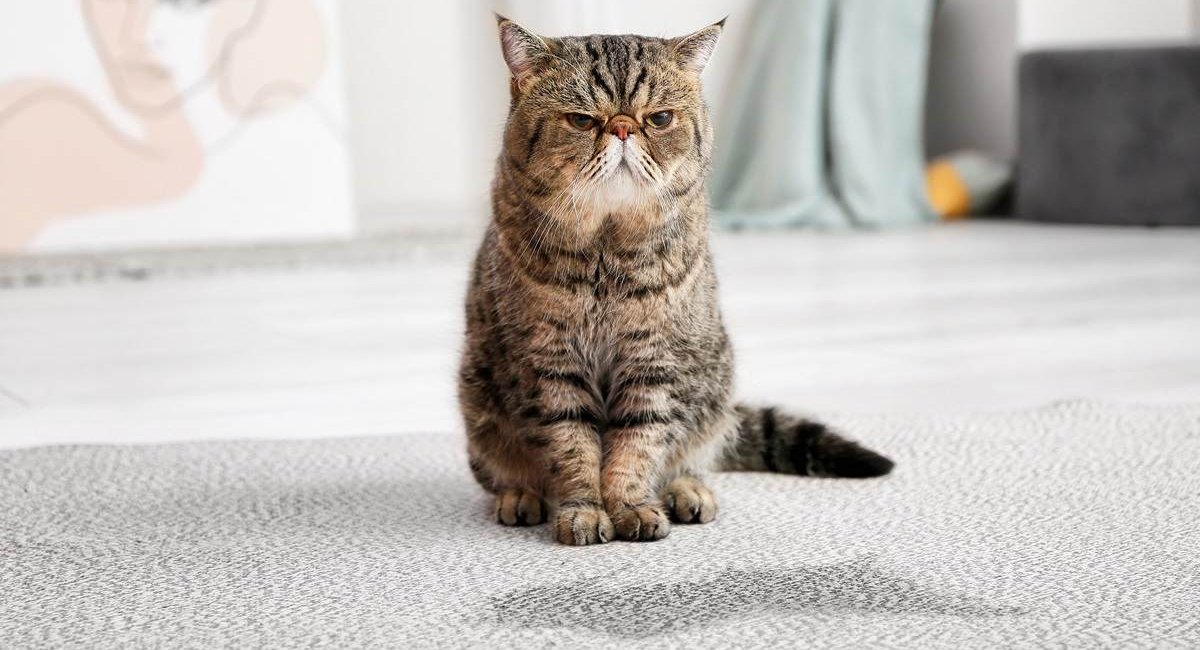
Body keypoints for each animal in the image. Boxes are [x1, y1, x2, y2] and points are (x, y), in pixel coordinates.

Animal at [458, 17, 892, 546]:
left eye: (659, 119)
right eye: (581, 121)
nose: (623, 127)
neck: (606, 252)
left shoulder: (656, 361)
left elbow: (638, 444)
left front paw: (630, 505)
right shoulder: (552, 365)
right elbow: (572, 447)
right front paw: (584, 510)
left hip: (714, 389)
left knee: (692, 455)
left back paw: (687, 491)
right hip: (477, 404)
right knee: (502, 472)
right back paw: (520, 496)